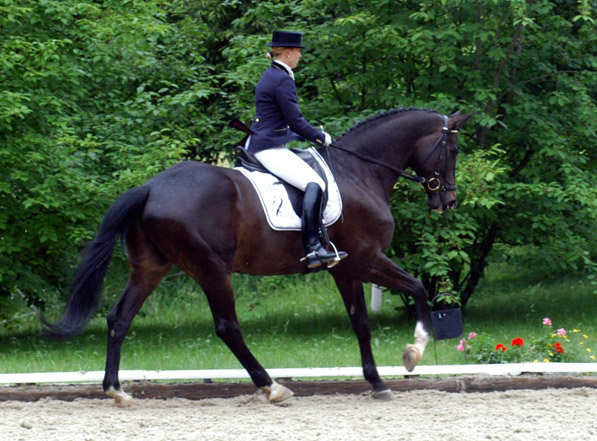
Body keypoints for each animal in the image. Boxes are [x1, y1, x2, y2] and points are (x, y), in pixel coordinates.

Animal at [43, 107, 470, 406]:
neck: (360, 170)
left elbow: (382, 309)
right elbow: (397, 301)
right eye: (452, 149)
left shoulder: (350, 266)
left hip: (149, 268)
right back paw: (272, 387)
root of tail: (149, 187)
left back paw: (116, 391)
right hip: (212, 269)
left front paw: (391, 370)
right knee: (227, 328)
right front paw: (406, 358)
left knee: (119, 319)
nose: (447, 202)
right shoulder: (360, 260)